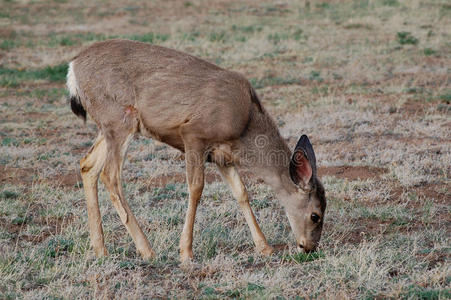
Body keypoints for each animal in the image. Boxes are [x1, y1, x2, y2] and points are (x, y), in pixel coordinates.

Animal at [67, 38, 326, 262]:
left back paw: (101, 250)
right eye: (316, 215)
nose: (309, 247)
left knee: (87, 165)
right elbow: (196, 188)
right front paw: (186, 252)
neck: (245, 125)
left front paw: (265, 247)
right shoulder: (194, 134)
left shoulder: (223, 157)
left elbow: (241, 192)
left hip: (108, 125)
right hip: (121, 118)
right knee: (110, 175)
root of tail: (72, 68)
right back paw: (147, 250)